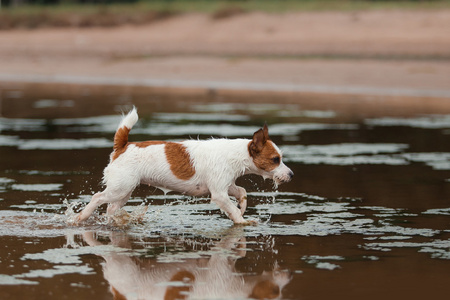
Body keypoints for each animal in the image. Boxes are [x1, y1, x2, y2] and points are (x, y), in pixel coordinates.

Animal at [75, 106, 294, 224]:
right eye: (276, 159)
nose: (291, 175)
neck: (234, 154)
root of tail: (123, 146)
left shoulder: (226, 185)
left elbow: (241, 192)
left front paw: (242, 208)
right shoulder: (219, 194)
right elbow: (231, 208)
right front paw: (241, 221)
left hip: (124, 192)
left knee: (111, 209)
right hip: (120, 188)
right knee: (97, 198)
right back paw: (81, 217)